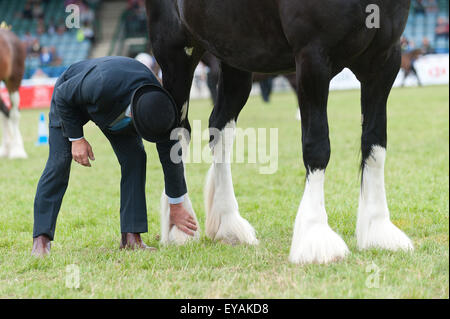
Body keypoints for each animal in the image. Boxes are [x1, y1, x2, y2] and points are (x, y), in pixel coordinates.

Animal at [146, 0, 414, 264]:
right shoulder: (312, 58)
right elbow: (317, 147)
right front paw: (315, 235)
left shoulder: (385, 61)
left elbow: (375, 144)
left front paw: (378, 229)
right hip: (176, 52)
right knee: (177, 133)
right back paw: (179, 226)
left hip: (234, 55)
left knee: (220, 131)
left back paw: (228, 223)